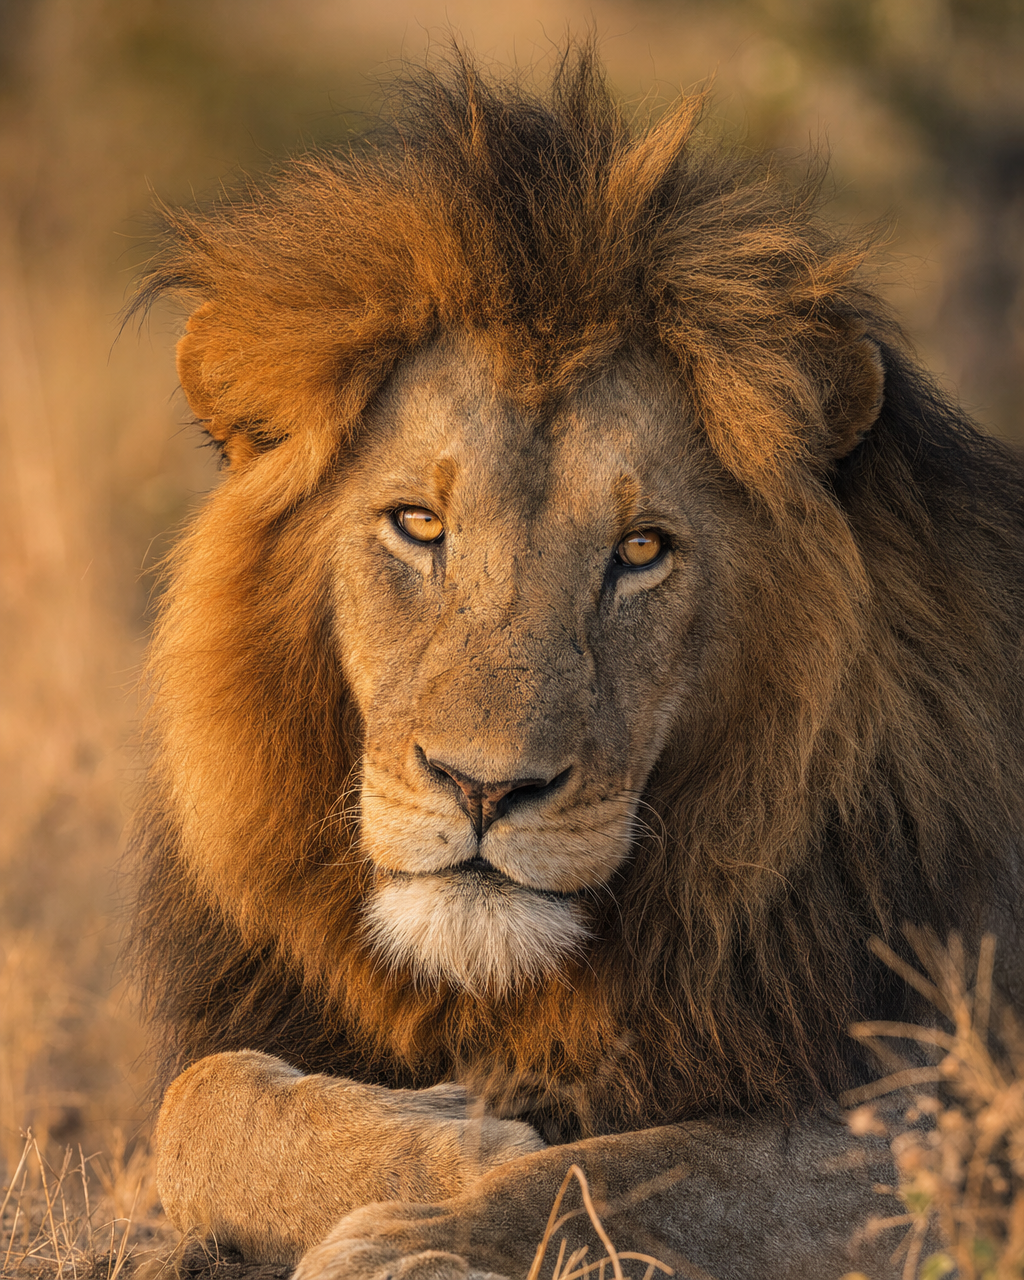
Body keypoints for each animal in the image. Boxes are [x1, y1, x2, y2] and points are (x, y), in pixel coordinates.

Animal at [130, 47, 1024, 1280]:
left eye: (639, 550)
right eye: (418, 525)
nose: (483, 788)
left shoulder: (957, 1107)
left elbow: (644, 1172)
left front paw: (423, 1235)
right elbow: (198, 1102)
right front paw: (447, 1142)